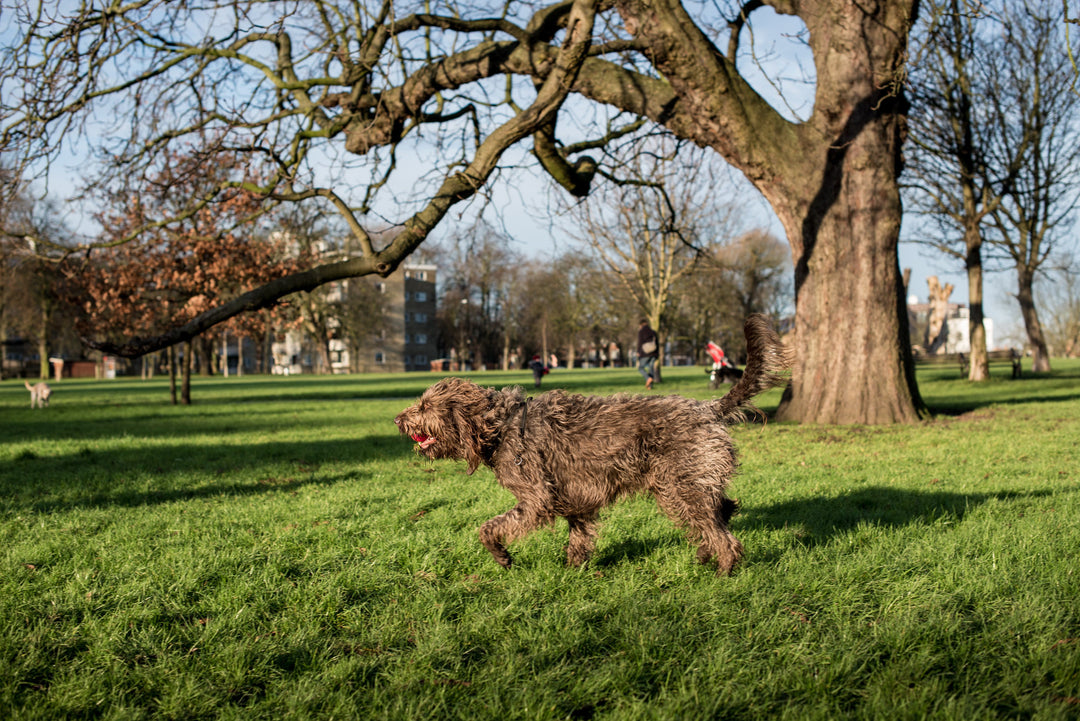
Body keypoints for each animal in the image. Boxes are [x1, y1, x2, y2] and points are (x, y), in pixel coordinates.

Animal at [393, 315, 790, 574]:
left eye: (424, 406)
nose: (398, 419)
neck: (500, 426)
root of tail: (708, 408)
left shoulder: (537, 500)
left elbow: (490, 527)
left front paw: (502, 556)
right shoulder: (577, 497)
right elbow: (579, 536)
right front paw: (574, 570)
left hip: (682, 486)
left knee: (720, 529)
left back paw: (724, 567)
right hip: (680, 487)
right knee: (722, 510)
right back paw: (707, 555)